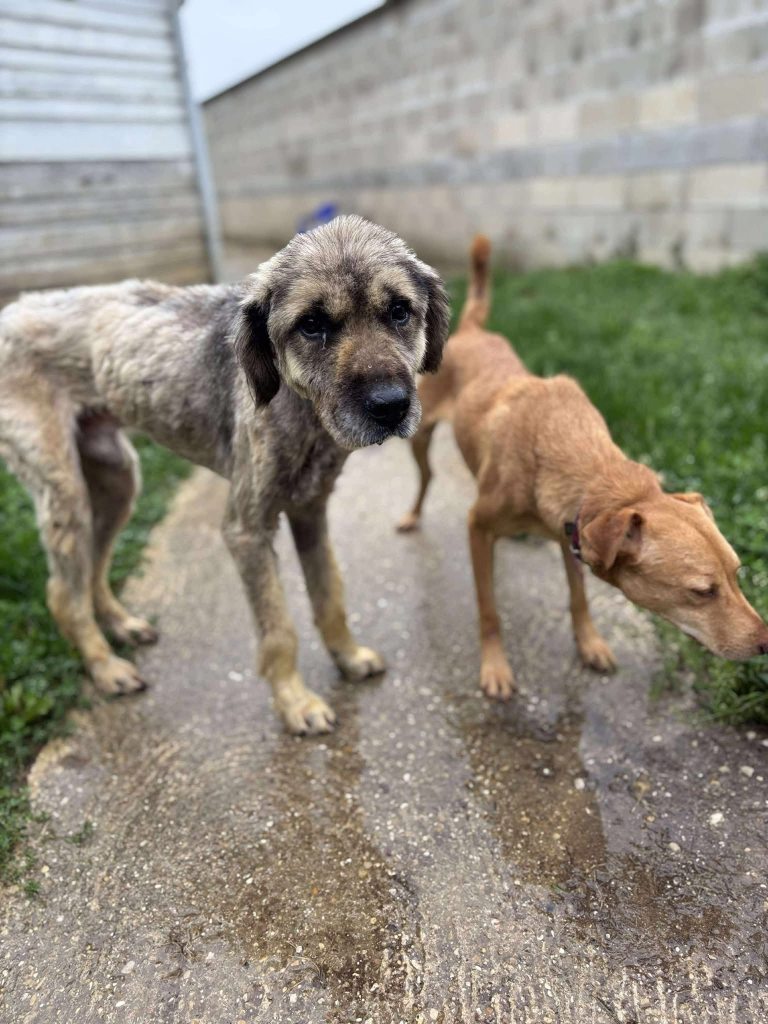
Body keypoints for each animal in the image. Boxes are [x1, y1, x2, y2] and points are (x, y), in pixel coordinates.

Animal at [0, 216, 449, 734]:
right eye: (312, 325)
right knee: (62, 594)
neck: (300, 410)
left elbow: (329, 597)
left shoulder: (310, 512)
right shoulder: (246, 530)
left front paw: (348, 657)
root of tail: (12, 310)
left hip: (118, 482)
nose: (390, 406)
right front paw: (295, 703)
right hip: (65, 492)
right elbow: (279, 629)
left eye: (399, 311)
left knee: (93, 565)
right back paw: (106, 667)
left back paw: (121, 626)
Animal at [397, 236, 768, 699]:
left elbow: (579, 596)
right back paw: (412, 515)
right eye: (702, 592)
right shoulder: (478, 527)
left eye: (738, 575)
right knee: (425, 476)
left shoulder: (569, 533)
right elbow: (488, 609)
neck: (586, 463)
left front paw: (589, 643)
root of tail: (470, 331)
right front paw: (495, 665)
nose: (766, 644)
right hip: (420, 437)